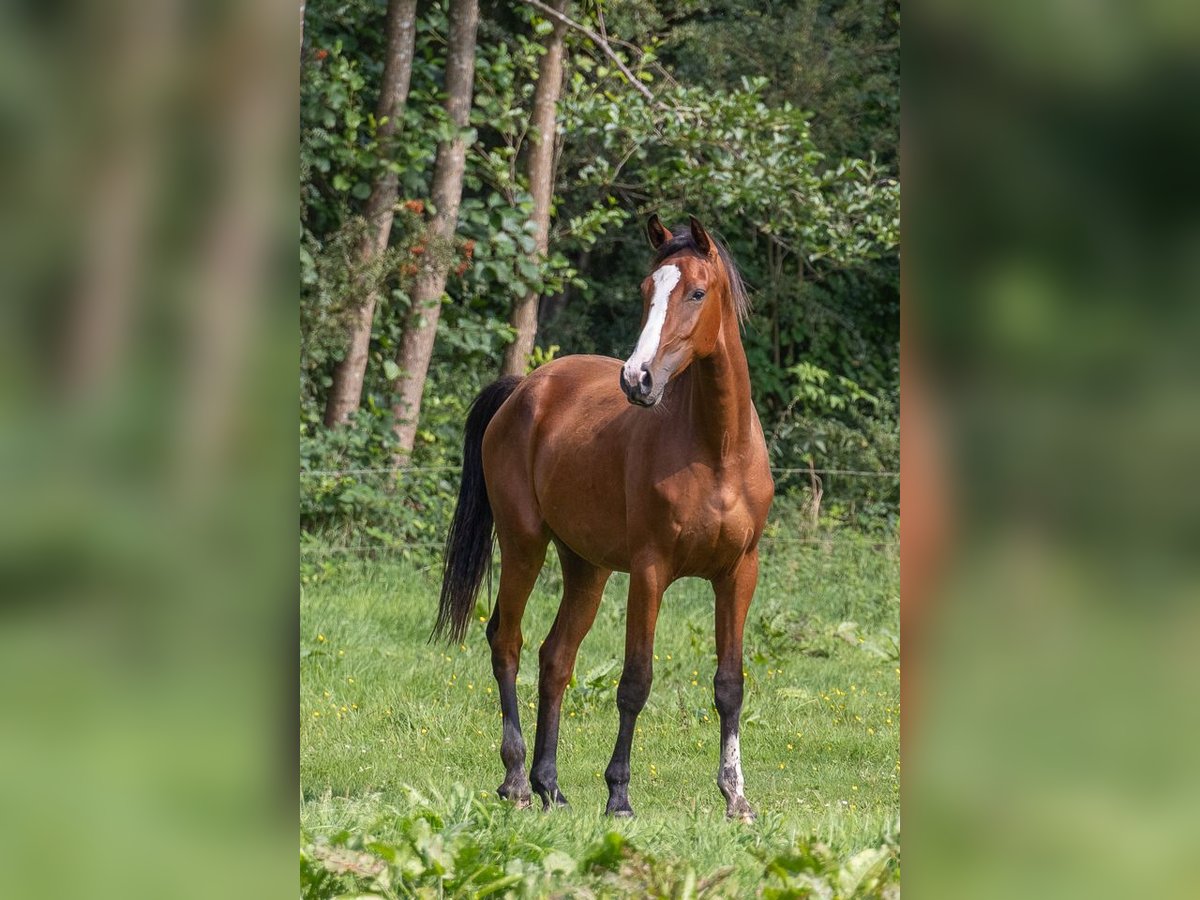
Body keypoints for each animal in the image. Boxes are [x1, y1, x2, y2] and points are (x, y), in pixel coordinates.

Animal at [436, 214, 772, 820]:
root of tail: (525, 388)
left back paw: (550, 785)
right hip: (524, 545)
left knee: (555, 657)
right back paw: (517, 781)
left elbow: (730, 685)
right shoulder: (650, 571)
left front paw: (737, 797)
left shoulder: (739, 573)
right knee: (507, 641)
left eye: (697, 292)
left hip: (585, 568)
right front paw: (619, 795)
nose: (637, 379)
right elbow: (635, 681)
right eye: (645, 290)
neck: (716, 451)